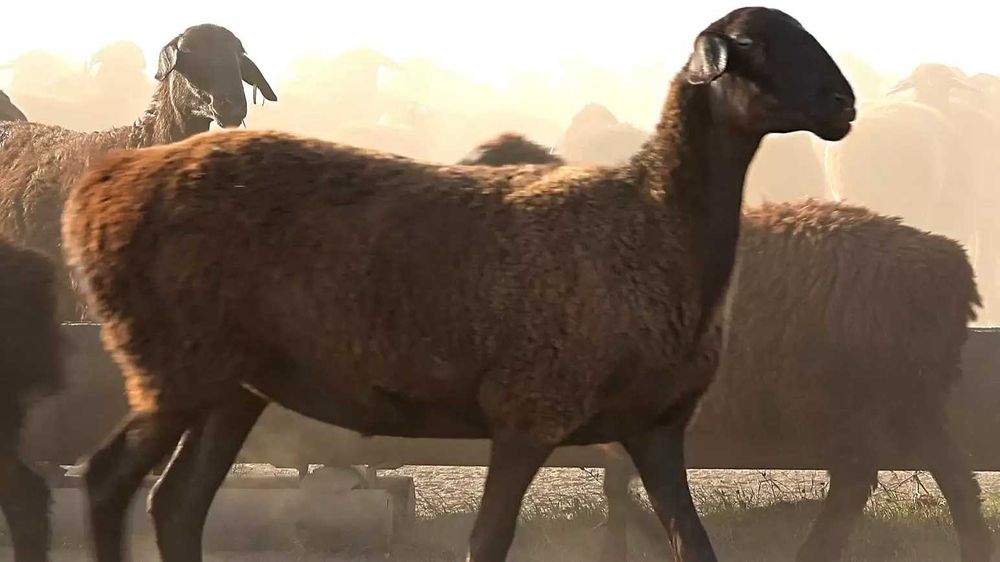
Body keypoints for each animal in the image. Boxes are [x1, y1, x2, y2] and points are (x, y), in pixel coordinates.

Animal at [63, 8, 855, 562]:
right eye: (754, 47)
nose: (845, 103)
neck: (654, 217)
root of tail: (102, 188)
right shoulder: (528, 412)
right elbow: (487, 542)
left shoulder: (655, 428)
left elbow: (695, 544)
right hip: (175, 363)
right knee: (109, 481)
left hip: (232, 383)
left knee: (176, 505)